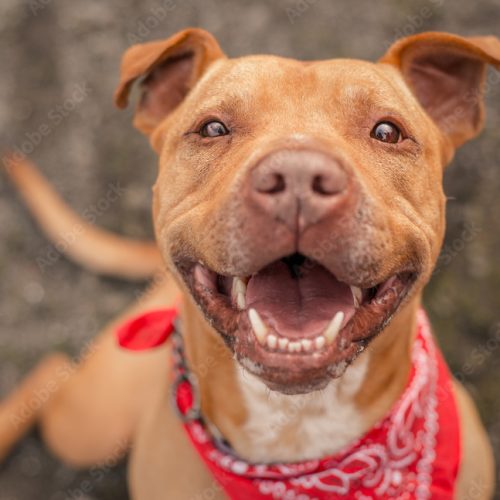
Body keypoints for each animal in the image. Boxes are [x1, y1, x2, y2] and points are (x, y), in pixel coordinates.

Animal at [1, 28, 498, 499]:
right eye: (213, 128)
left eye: (387, 132)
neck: (297, 421)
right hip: (90, 427)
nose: (298, 176)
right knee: (51, 374)